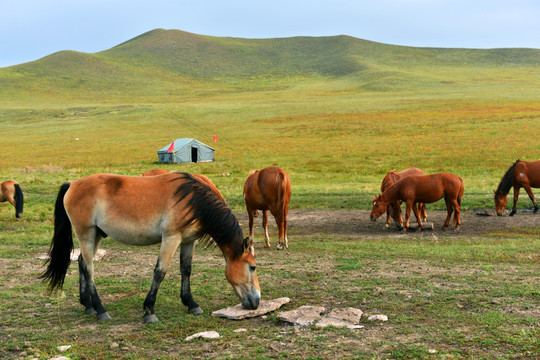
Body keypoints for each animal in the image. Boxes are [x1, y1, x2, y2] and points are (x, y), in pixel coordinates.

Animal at [40, 173, 260, 322]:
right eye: (252, 267)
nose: (256, 301)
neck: (195, 199)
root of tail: (72, 184)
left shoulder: (188, 240)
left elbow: (186, 270)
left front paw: (191, 303)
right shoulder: (171, 238)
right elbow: (160, 272)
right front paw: (149, 310)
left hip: (96, 235)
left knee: (80, 263)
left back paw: (88, 306)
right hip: (85, 234)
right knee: (88, 268)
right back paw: (101, 310)